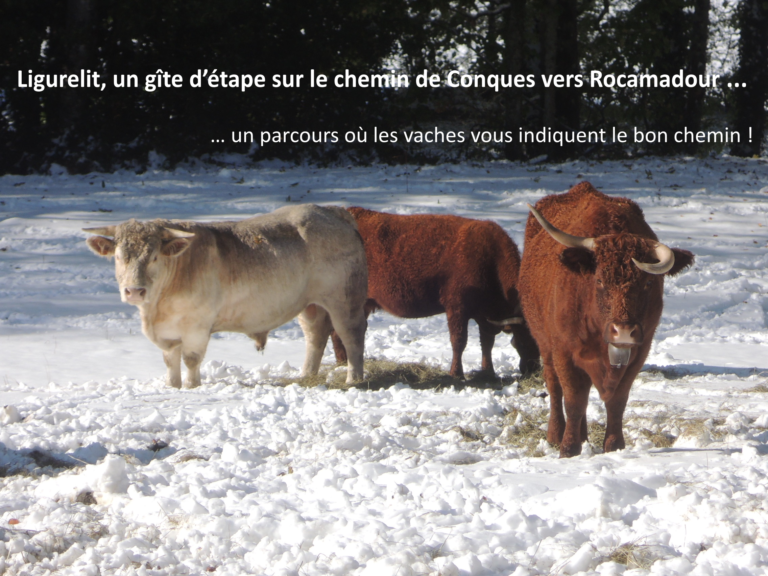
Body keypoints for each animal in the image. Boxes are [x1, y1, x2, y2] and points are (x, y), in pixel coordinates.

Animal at [85, 202, 368, 388]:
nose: (134, 290)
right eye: (119, 257)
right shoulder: (169, 333)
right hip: (309, 305)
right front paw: (173, 386)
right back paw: (306, 376)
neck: (156, 308)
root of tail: (332, 211)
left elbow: (191, 360)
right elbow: (170, 361)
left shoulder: (197, 327)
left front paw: (192, 387)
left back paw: (353, 379)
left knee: (351, 335)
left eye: (154, 257)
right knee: (315, 335)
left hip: (346, 299)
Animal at [332, 207, 544, 378]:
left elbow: (487, 343)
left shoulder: (484, 316)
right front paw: (456, 374)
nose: (533, 369)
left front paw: (488, 371)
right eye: (522, 341)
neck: (488, 258)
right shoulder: (457, 309)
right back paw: (342, 363)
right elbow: (459, 342)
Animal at [520, 182, 692, 456]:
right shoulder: (564, 352)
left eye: (647, 283)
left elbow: (617, 401)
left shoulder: (639, 353)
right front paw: (569, 448)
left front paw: (614, 446)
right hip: (545, 345)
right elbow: (573, 400)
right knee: (554, 388)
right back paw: (556, 434)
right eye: (599, 280)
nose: (623, 332)